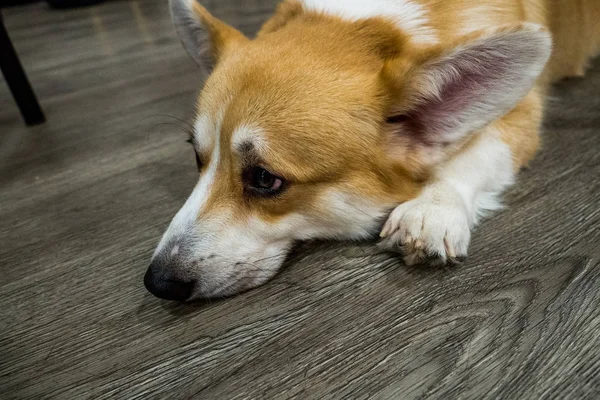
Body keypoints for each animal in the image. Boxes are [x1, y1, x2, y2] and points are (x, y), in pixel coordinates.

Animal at [144, 0, 600, 300]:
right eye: (198, 158)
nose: (156, 282)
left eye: (265, 179)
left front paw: (431, 210)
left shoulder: (521, 113)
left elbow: (473, 155)